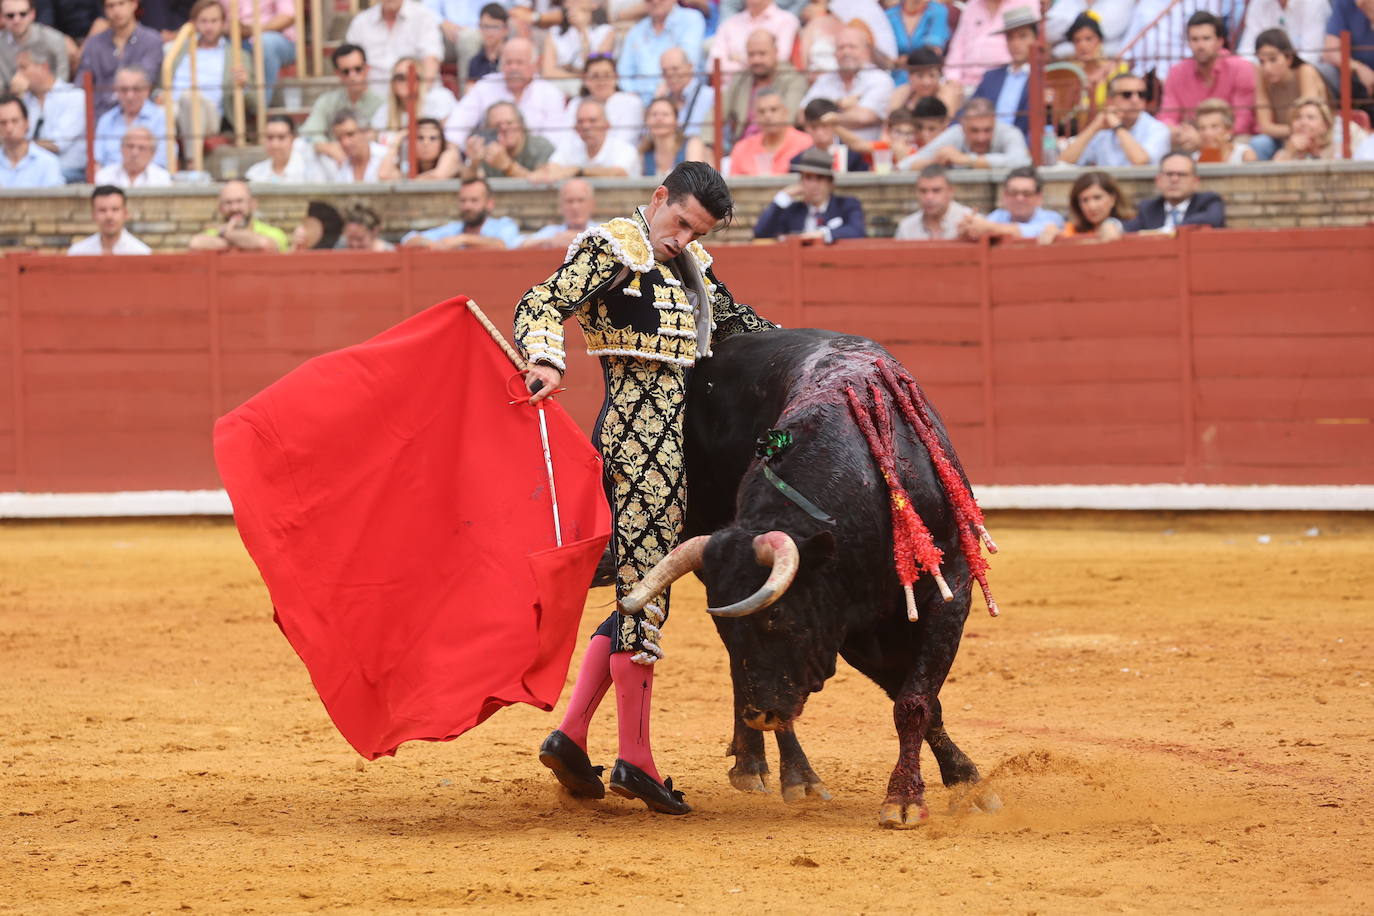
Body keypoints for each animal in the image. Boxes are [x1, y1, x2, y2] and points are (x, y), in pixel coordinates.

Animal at [632, 329, 1000, 829]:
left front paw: (957, 786)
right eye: (727, 628)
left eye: (776, 618)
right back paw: (789, 773)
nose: (760, 715)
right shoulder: (846, 628)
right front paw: (913, 794)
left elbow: (916, 701)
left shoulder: (947, 591)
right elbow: (914, 699)